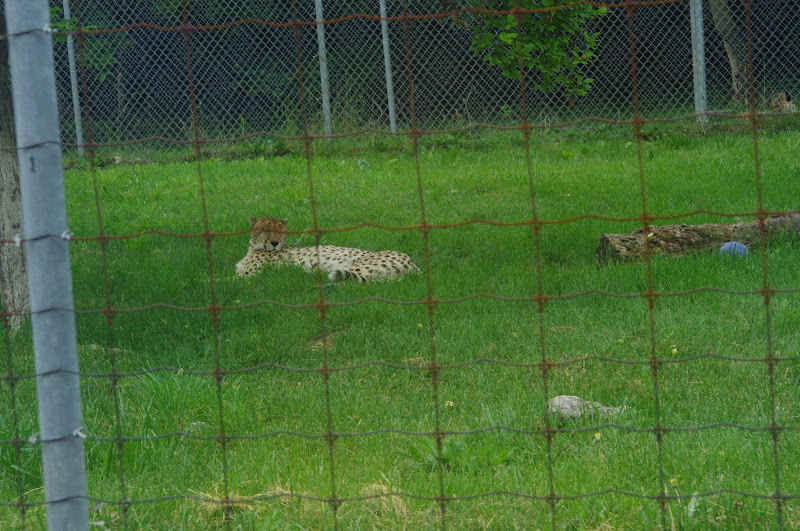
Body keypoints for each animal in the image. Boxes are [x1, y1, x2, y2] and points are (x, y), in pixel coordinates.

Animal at [235, 215, 420, 282]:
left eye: (281, 231)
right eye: (266, 230)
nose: (274, 243)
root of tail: (412, 262)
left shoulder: (248, 276)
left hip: (357, 266)